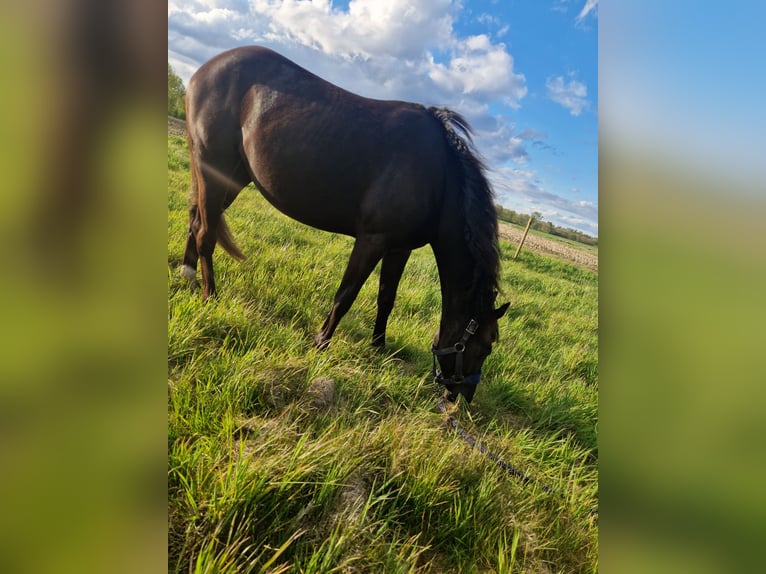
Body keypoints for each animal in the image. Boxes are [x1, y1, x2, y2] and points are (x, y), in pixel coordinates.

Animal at [182, 46, 510, 404]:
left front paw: (378, 347)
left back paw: (187, 275)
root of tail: (207, 68)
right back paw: (210, 297)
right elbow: (346, 295)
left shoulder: (399, 249)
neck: (438, 178)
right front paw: (321, 344)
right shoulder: (372, 241)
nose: (460, 396)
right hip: (212, 168)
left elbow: (386, 298)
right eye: (486, 345)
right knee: (206, 233)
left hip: (233, 176)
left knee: (196, 221)